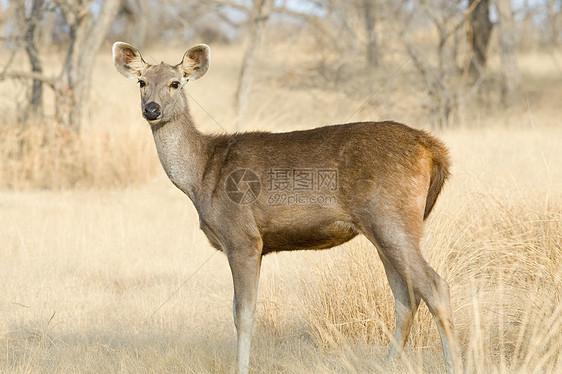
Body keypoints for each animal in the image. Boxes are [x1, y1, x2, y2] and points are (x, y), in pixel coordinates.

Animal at [112, 42, 460, 372]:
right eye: (142, 81)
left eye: (175, 83)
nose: (151, 109)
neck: (201, 175)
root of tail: (433, 148)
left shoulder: (242, 236)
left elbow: (243, 313)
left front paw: (242, 368)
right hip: (382, 229)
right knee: (406, 298)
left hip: (391, 218)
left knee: (435, 287)